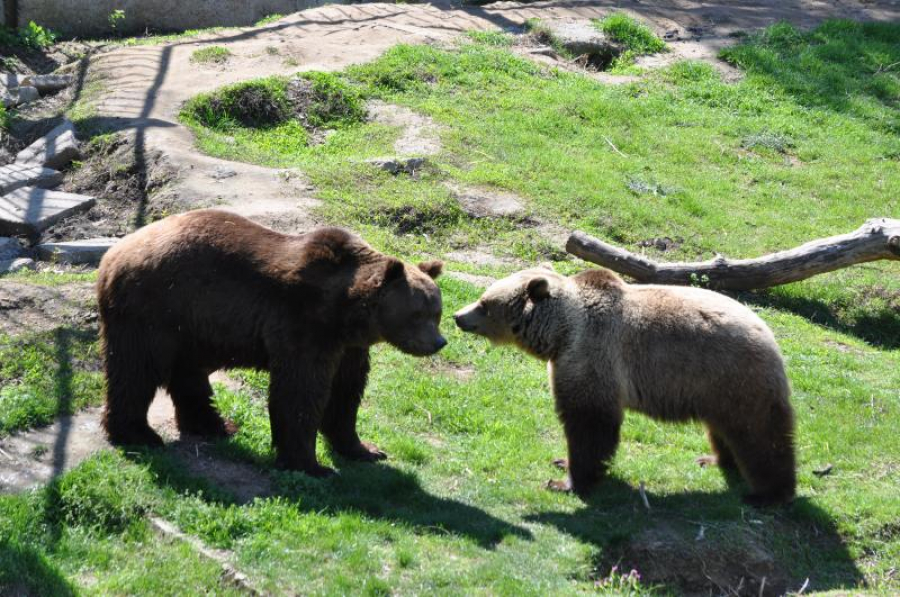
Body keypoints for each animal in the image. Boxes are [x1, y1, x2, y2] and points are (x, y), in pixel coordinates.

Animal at [96, 210, 444, 474]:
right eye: (417, 313)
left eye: (436, 311)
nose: (438, 342)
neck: (348, 312)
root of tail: (111, 255)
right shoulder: (303, 324)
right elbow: (300, 392)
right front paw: (311, 465)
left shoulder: (349, 347)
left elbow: (346, 393)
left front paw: (365, 449)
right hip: (154, 308)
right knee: (137, 369)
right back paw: (138, 433)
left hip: (190, 321)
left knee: (186, 372)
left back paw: (214, 425)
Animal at [458, 268, 796, 506]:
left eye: (485, 303)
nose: (458, 315)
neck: (560, 335)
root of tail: (770, 336)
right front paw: (561, 461)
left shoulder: (593, 356)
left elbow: (589, 424)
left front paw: (567, 481)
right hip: (714, 388)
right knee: (724, 428)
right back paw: (713, 459)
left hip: (735, 375)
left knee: (760, 435)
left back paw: (768, 494)